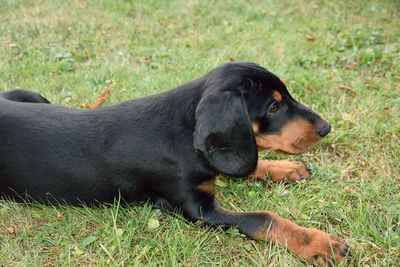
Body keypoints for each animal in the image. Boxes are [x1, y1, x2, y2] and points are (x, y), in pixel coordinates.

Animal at [0, 62, 350, 266]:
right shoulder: (198, 210)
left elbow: (248, 163)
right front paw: (318, 243)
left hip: (31, 94)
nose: (326, 128)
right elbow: (263, 218)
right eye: (274, 107)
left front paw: (284, 169)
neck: (182, 132)